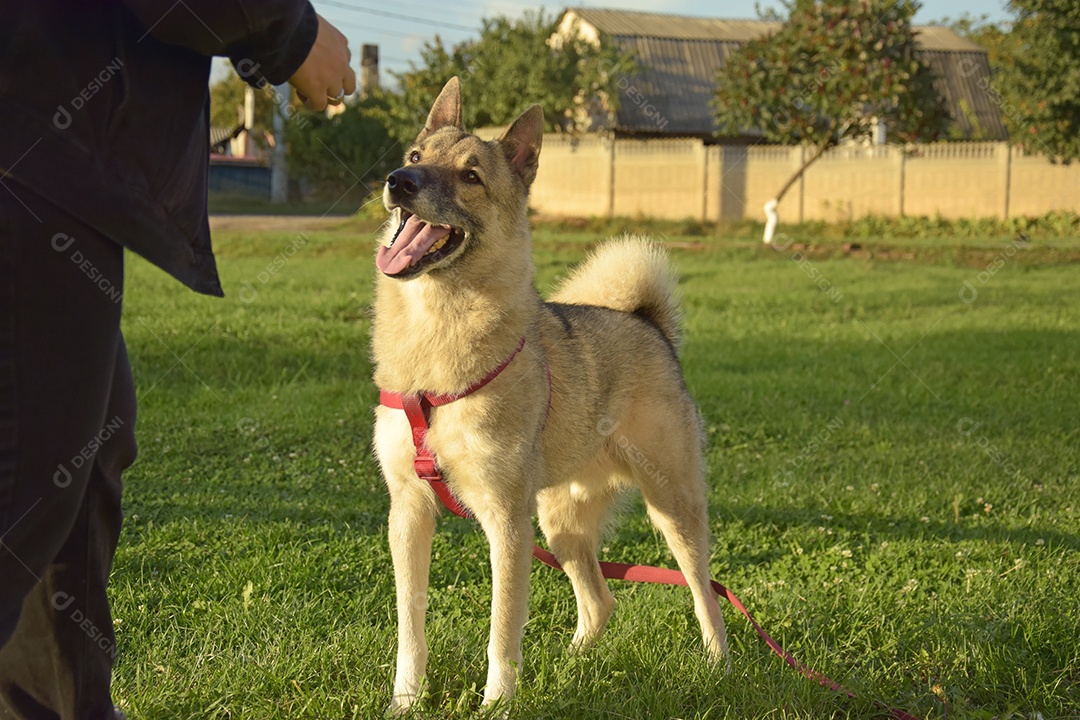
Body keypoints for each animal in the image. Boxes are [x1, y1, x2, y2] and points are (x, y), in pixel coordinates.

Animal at [373, 77, 734, 708]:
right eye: (416, 155)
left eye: (471, 175)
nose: (400, 180)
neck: (435, 332)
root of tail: (646, 323)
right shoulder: (410, 512)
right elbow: (410, 627)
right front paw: (406, 701)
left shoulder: (505, 521)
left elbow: (501, 628)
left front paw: (497, 703)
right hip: (559, 521)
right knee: (600, 601)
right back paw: (573, 664)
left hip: (672, 508)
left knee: (702, 591)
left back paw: (718, 664)